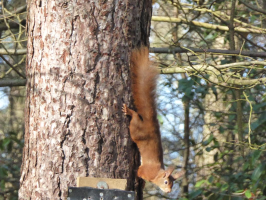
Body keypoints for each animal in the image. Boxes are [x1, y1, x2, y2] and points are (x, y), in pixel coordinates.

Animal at [122, 46, 185, 193]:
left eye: (173, 184)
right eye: (166, 182)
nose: (169, 191)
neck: (156, 173)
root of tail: (150, 122)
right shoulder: (145, 170)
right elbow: (139, 172)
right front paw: (138, 180)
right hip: (136, 130)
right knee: (134, 118)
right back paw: (129, 111)